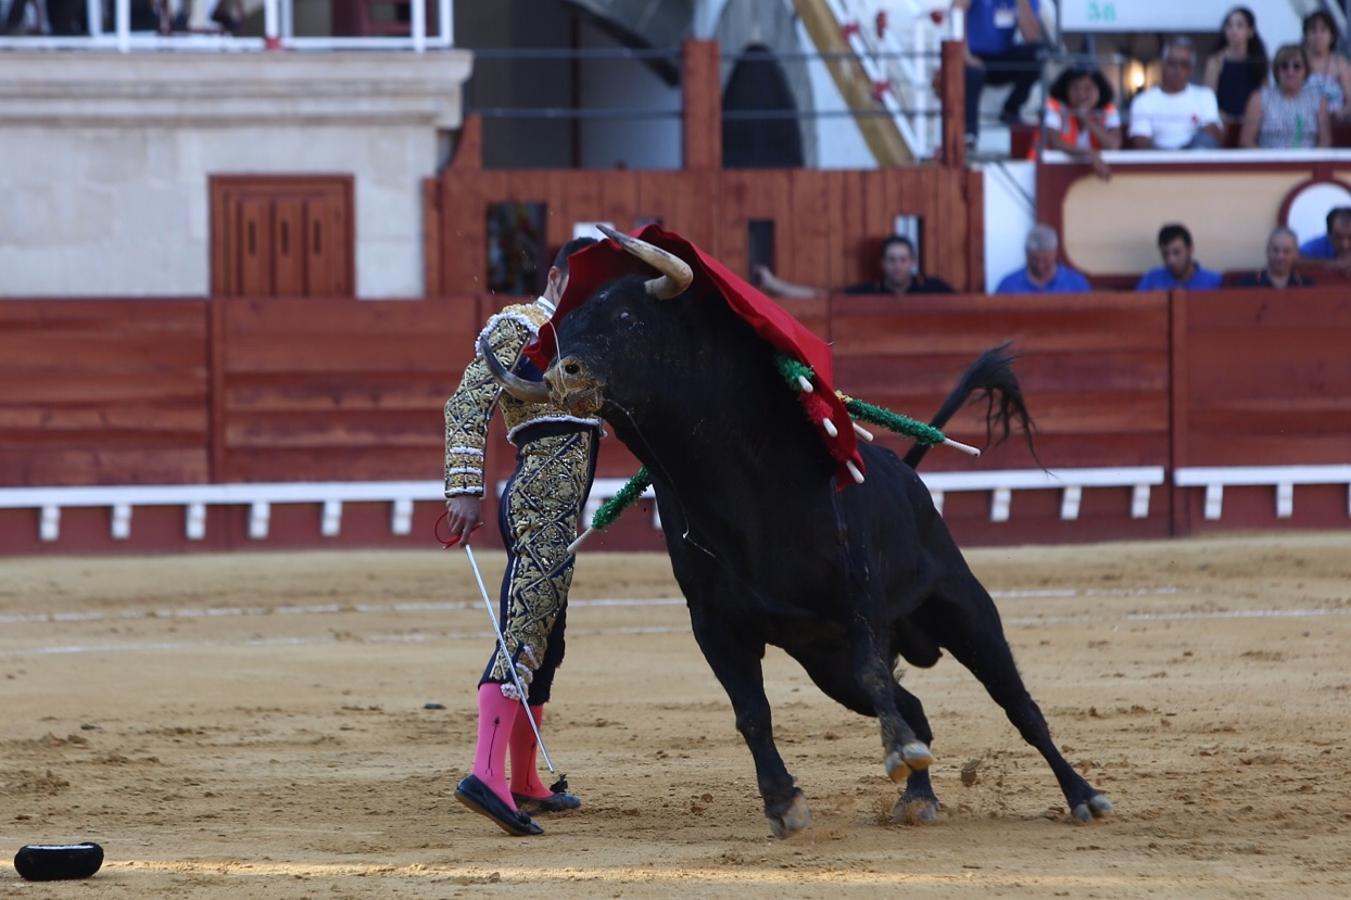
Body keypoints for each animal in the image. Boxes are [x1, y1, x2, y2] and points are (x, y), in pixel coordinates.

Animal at [480, 266, 1113, 832]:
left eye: (628, 318)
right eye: (565, 328)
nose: (565, 374)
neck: (735, 488)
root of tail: (909, 477)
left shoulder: (858, 598)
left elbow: (876, 672)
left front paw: (886, 756)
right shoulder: (715, 625)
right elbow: (751, 711)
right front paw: (782, 802)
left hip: (963, 607)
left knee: (1017, 702)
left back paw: (1083, 795)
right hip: (826, 664)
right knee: (913, 707)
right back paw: (917, 797)